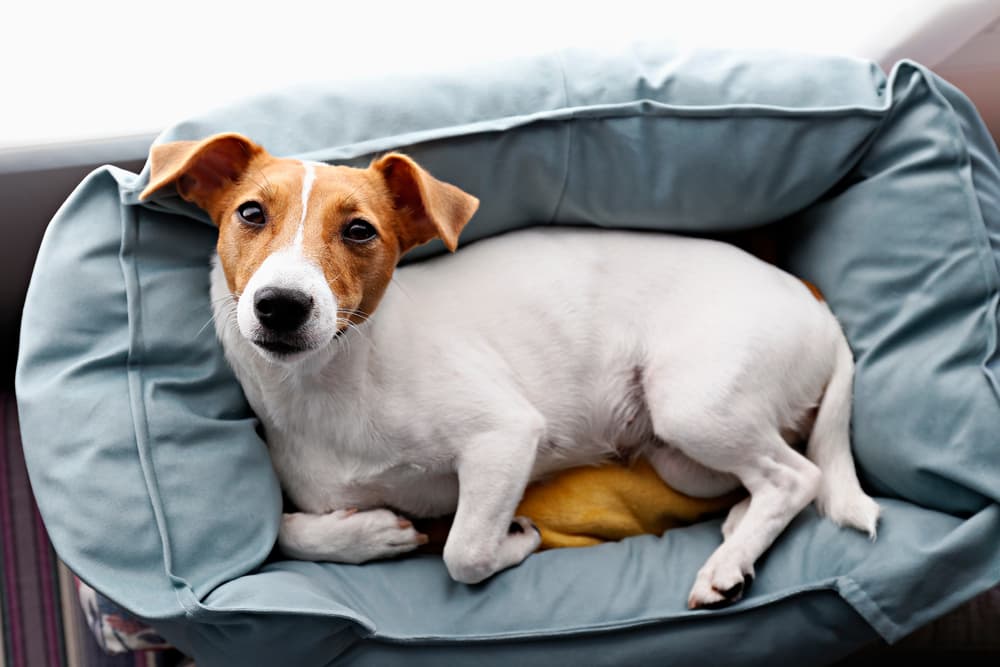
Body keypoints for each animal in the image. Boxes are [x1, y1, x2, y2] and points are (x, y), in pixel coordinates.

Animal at [143, 132, 884, 612]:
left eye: (359, 230)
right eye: (250, 213)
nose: (281, 305)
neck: (337, 382)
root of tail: (814, 302)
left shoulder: (503, 438)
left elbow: (463, 550)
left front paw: (514, 540)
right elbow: (285, 529)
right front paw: (371, 534)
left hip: (693, 405)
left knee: (797, 476)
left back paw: (728, 562)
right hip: (679, 453)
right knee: (765, 475)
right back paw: (737, 532)